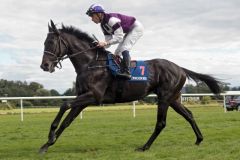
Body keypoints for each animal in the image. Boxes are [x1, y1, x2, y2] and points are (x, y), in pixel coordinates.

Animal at [39, 20, 221, 154]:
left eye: (51, 42)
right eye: (44, 42)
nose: (44, 66)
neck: (90, 64)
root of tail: (180, 68)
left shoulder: (94, 96)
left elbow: (64, 105)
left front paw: (50, 135)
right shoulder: (83, 98)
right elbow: (66, 121)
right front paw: (47, 144)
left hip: (164, 98)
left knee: (161, 123)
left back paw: (145, 147)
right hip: (174, 99)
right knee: (189, 115)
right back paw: (199, 139)